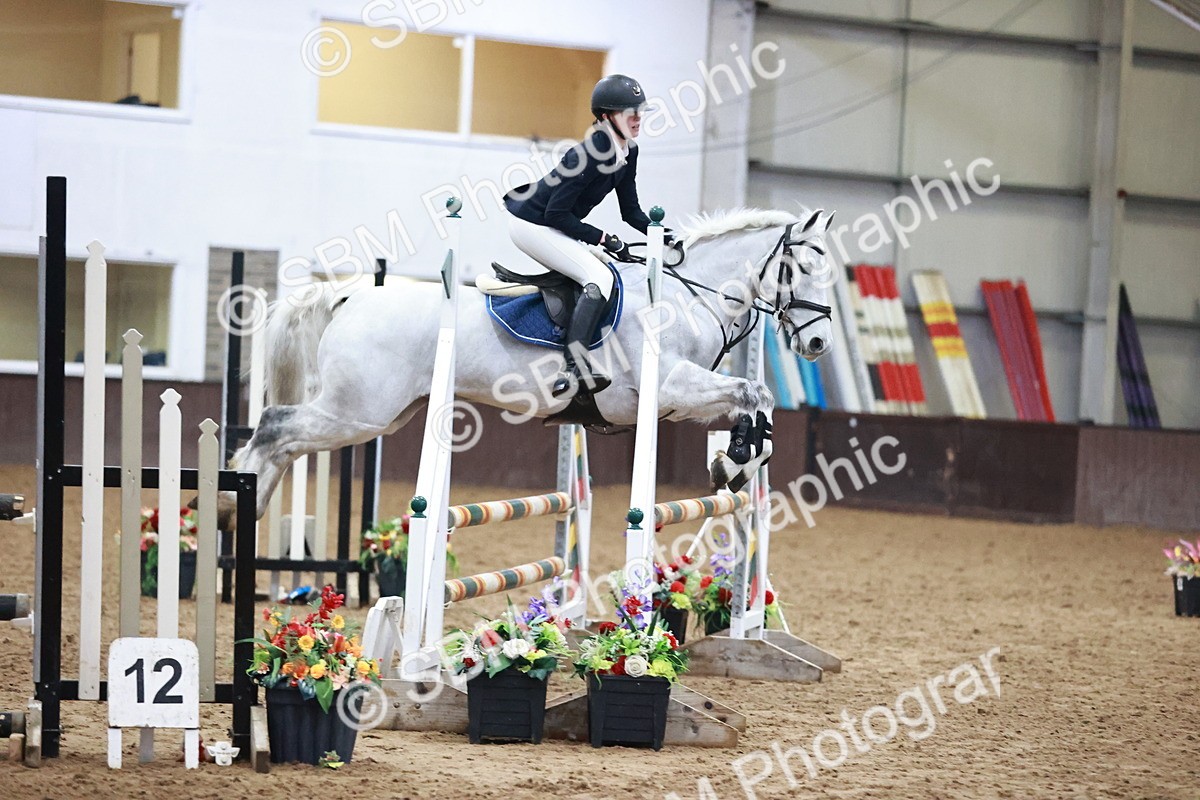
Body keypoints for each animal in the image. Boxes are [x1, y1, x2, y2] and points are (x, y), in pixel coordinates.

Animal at [232, 207, 835, 519]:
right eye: (802, 268)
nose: (818, 345)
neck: (687, 296)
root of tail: (351, 293)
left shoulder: (676, 400)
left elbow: (757, 402)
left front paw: (738, 460)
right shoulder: (668, 388)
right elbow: (753, 394)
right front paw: (735, 461)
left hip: (383, 413)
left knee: (285, 440)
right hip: (359, 411)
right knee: (275, 427)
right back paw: (234, 508)